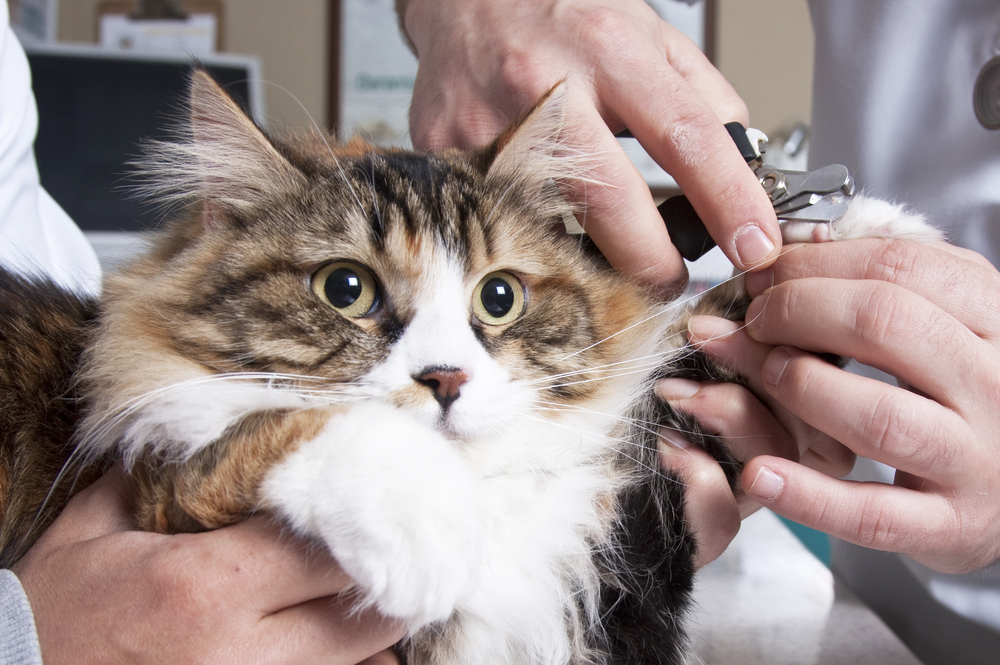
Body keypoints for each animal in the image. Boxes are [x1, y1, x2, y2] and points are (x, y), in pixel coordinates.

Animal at [0, 68, 936, 664]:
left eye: (499, 297)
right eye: (346, 289)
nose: (446, 379)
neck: (487, 488)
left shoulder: (619, 526)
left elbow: (703, 335)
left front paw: (863, 246)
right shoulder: (159, 498)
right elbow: (277, 423)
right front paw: (421, 523)